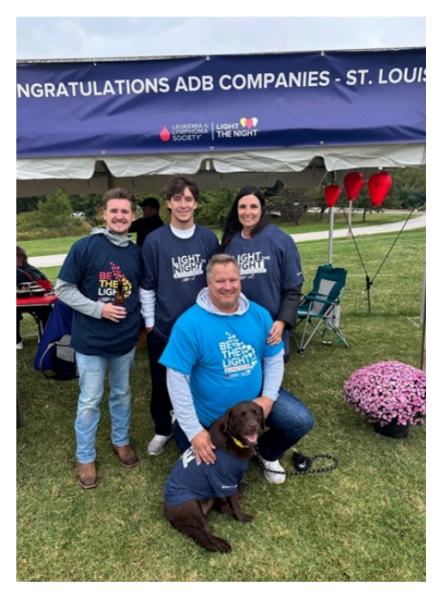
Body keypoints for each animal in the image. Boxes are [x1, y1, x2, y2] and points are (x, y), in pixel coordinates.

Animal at [165, 404, 266, 552]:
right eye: (240, 416)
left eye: (257, 413)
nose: (253, 425)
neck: (233, 439)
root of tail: (168, 515)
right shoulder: (224, 480)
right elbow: (235, 505)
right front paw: (241, 518)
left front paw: (238, 491)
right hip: (191, 504)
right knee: (205, 530)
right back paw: (220, 543)